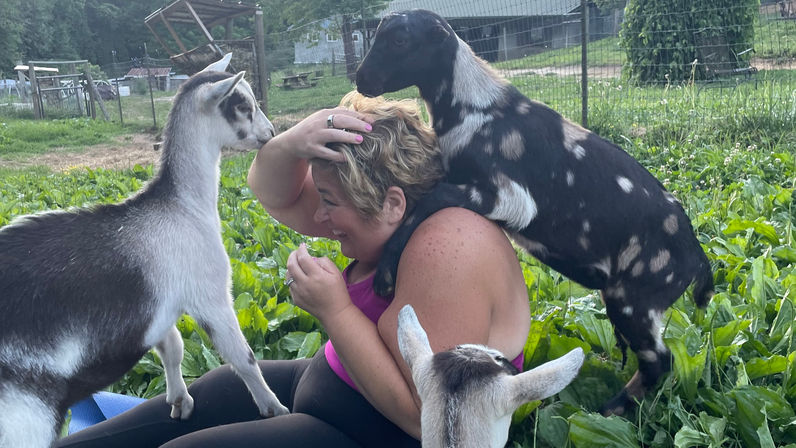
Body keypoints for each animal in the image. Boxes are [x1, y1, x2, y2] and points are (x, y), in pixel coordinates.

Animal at [0, 53, 290, 448]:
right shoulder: (210, 295)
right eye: (242, 104)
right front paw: (275, 409)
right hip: (24, 415)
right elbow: (242, 356)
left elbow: (173, 347)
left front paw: (179, 401)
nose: (271, 133)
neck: (182, 207)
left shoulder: (159, 311)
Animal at [356, 9, 716, 416]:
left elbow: (428, 202)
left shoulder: (510, 197)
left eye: (400, 40)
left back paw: (606, 411)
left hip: (633, 300)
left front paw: (385, 275)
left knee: (660, 360)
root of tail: (697, 259)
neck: (477, 109)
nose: (361, 79)